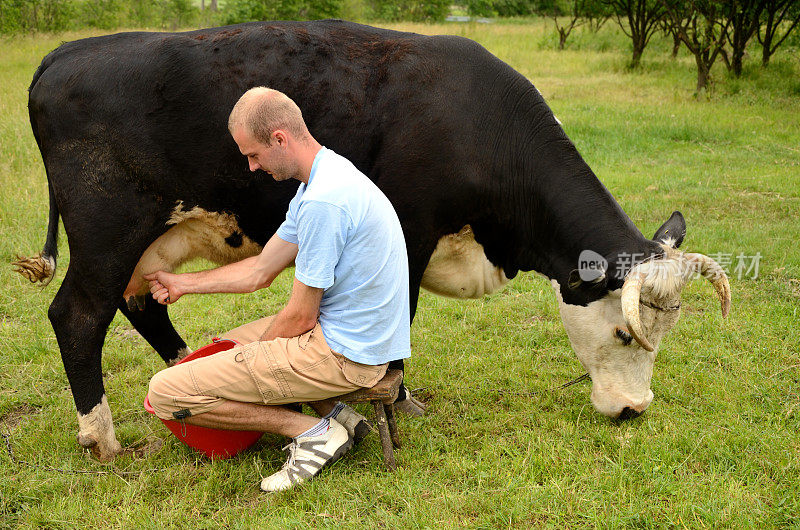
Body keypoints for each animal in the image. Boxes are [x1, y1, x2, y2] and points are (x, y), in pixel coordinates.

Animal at [12, 20, 728, 460]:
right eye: (625, 334)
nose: (634, 410)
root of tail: (66, 52)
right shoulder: (407, 232)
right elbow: (398, 321)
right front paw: (400, 398)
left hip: (150, 242)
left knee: (142, 306)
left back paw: (192, 367)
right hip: (107, 232)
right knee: (78, 315)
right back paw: (101, 439)